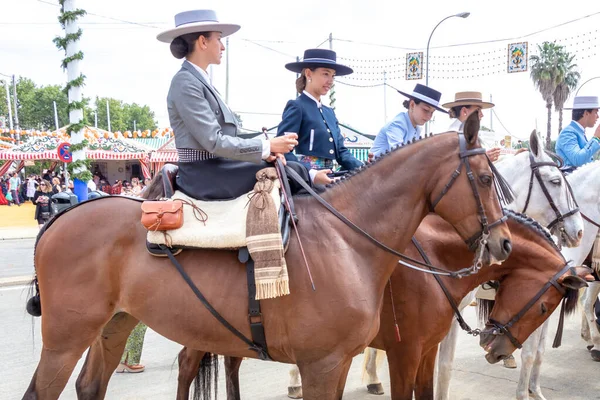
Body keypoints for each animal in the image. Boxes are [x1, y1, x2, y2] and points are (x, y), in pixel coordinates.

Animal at [21, 119, 508, 400]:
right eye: (486, 178)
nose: (503, 244)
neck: (346, 240)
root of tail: (61, 218)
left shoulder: (345, 361)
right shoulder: (324, 365)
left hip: (116, 324)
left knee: (90, 385)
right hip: (65, 338)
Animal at [176, 211, 588, 398]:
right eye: (544, 308)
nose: (497, 348)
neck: (434, 259)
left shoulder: (427, 351)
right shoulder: (403, 353)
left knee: (230, 364)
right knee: (187, 365)